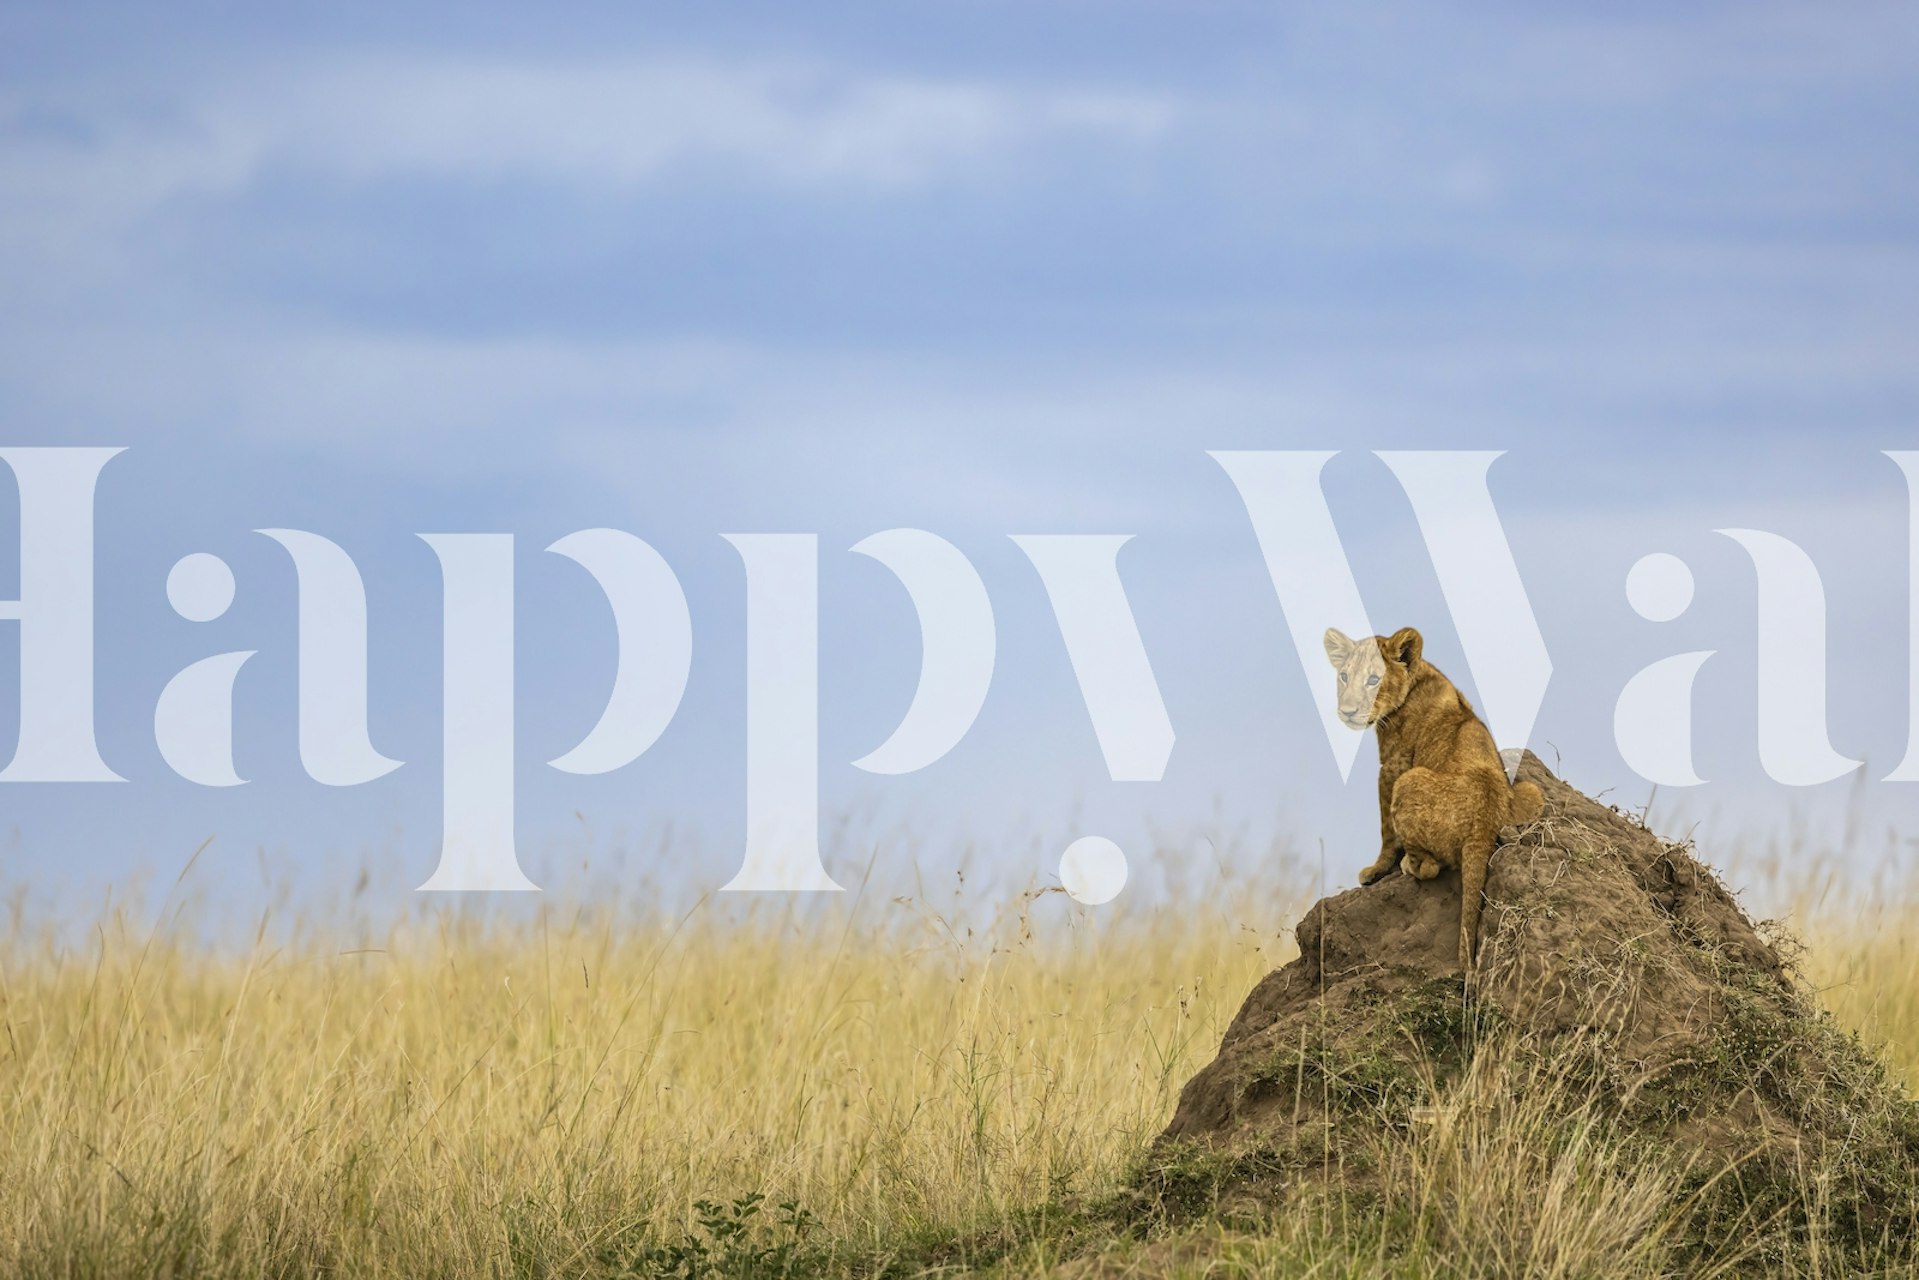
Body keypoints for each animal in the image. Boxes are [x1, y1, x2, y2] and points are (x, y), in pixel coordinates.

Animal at [1323, 625, 1544, 987]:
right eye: (1343, 676)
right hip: (1530, 790)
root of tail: (1484, 823)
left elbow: (1386, 830)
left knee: (1430, 868)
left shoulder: (1393, 768)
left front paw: (1376, 870)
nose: (1348, 711)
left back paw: (1409, 866)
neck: (1419, 678)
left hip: (1410, 781)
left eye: (1373, 679)